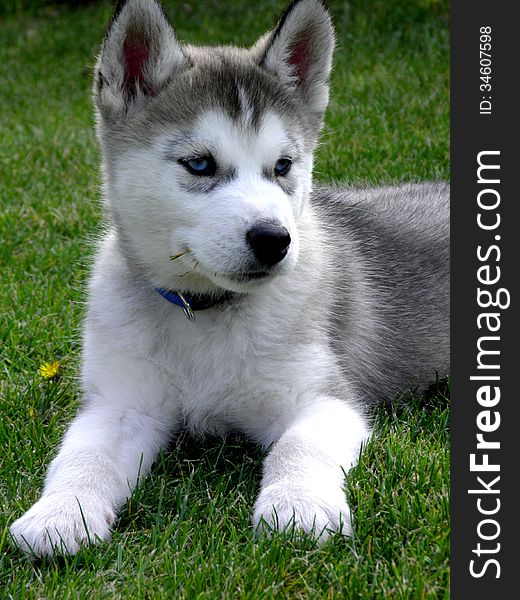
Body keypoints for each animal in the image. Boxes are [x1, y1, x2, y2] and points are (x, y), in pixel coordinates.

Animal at [8, 0, 448, 556]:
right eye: (199, 164)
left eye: (283, 166)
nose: (274, 239)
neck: (203, 313)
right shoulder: (121, 403)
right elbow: (82, 456)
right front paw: (59, 513)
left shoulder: (325, 398)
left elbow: (298, 447)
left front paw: (298, 507)